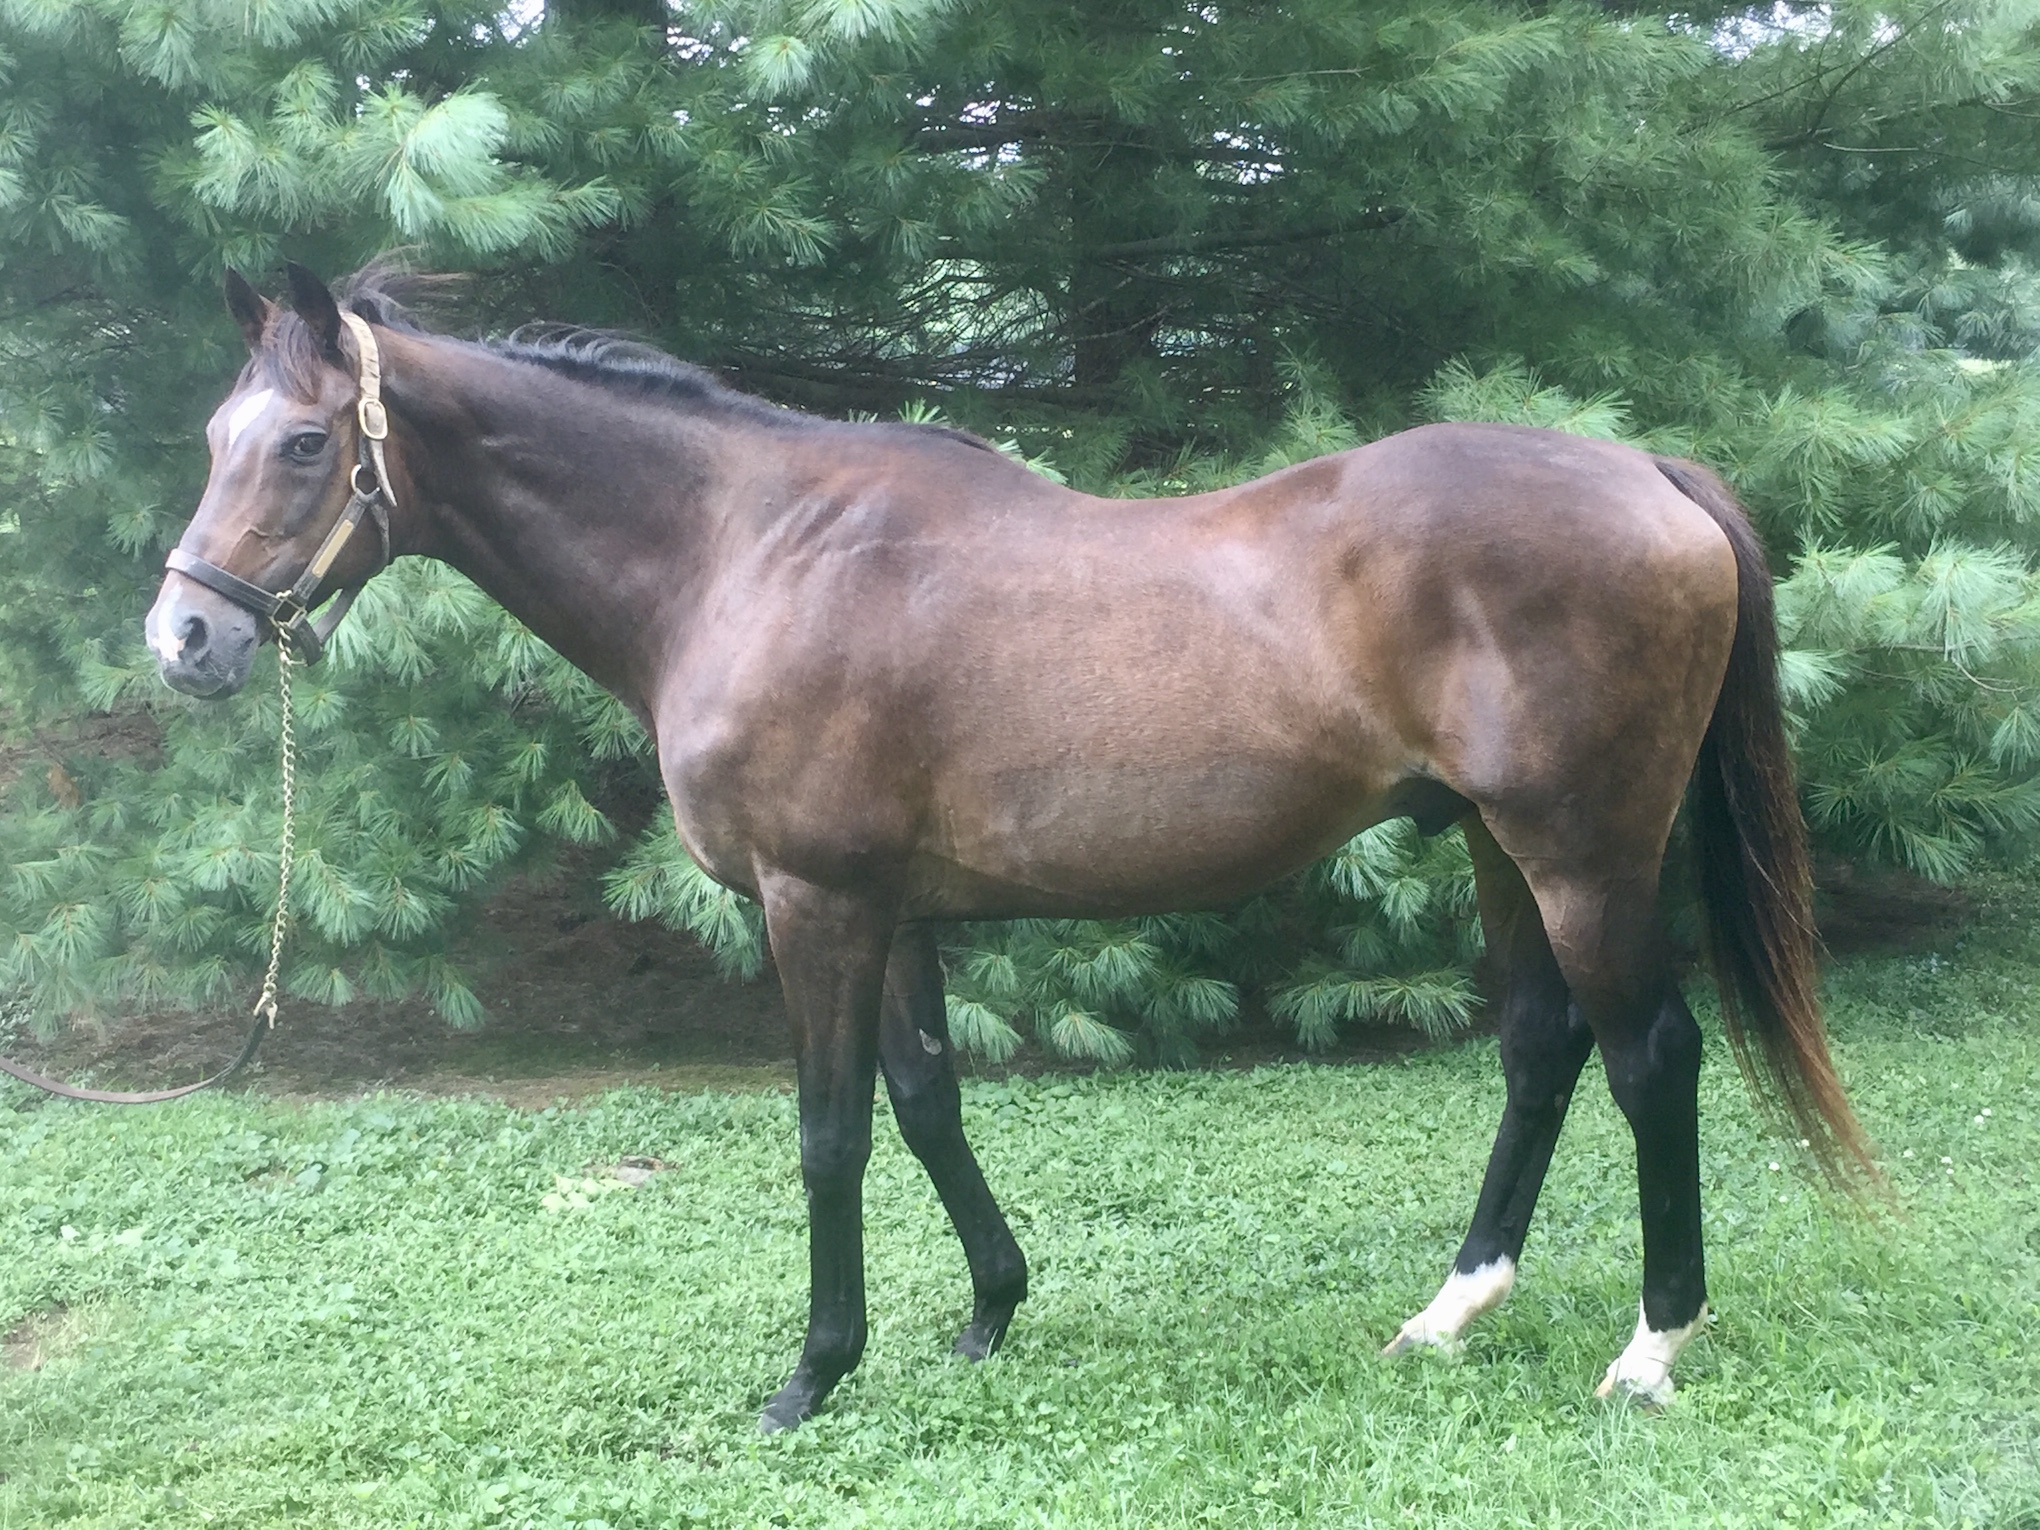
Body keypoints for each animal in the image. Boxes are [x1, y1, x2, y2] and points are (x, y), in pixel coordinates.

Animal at [139, 261, 1868, 1428]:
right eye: (214, 428)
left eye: (303, 443)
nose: (184, 641)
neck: (749, 550)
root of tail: (1645, 470)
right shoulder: (894, 907)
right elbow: (925, 1102)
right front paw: (986, 1313)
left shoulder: (813, 904)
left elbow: (831, 1129)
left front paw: (812, 1374)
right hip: (1502, 849)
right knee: (1540, 1045)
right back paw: (1453, 1308)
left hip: (1584, 851)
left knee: (1650, 1053)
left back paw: (1651, 1345)